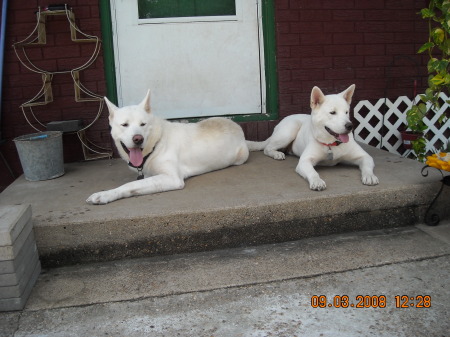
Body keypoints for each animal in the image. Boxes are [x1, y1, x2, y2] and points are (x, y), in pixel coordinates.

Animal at [87, 90, 250, 203]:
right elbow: (137, 183)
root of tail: (237, 127)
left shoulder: (172, 178)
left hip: (241, 156)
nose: (138, 139)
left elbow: (129, 185)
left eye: (143, 124)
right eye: (124, 125)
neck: (155, 145)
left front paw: (105, 194)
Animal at [248, 83, 378, 190]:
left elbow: (367, 165)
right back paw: (277, 154)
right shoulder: (304, 161)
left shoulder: (365, 156)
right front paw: (317, 181)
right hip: (290, 128)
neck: (331, 144)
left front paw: (370, 176)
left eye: (346, 112)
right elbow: (313, 172)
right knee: (267, 148)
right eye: (332, 113)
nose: (349, 126)